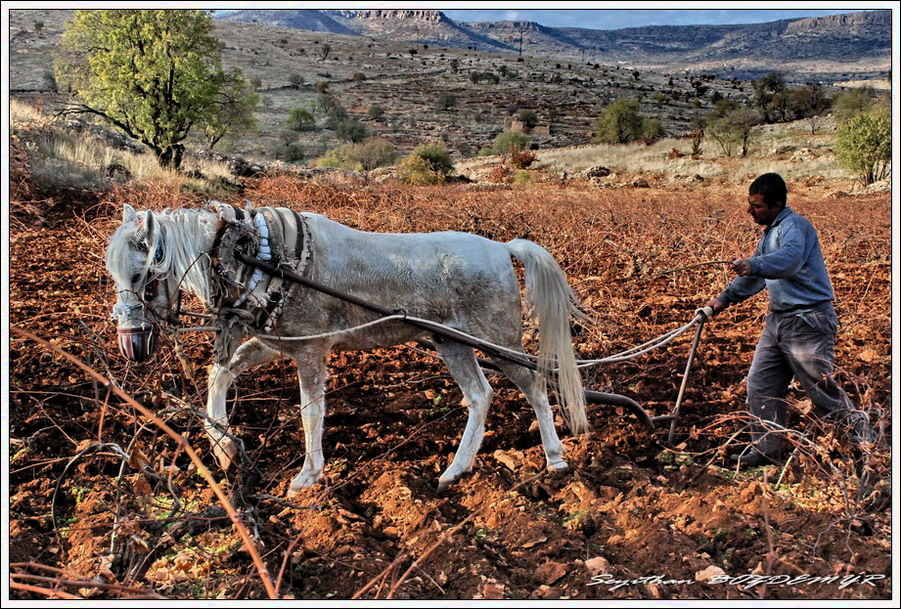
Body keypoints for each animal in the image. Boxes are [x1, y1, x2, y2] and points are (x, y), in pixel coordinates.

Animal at [105, 202, 588, 492]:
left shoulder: (310, 349)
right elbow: (220, 373)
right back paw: (455, 470)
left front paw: (306, 475)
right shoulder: (276, 342)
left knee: (533, 385)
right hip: (451, 343)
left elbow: (311, 411)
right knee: (480, 396)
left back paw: (555, 458)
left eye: (142, 273)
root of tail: (501, 248)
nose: (131, 346)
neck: (257, 255)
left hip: (496, 339)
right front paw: (223, 447)